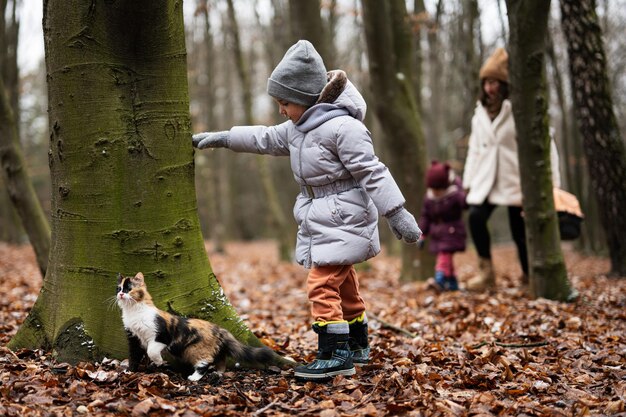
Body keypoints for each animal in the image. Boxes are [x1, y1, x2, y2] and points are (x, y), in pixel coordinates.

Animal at [117, 272, 272, 378]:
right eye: (118, 289)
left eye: (129, 289)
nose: (120, 294)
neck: (133, 311)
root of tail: (219, 328)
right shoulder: (134, 339)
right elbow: (134, 357)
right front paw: (129, 371)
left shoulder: (161, 336)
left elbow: (151, 351)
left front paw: (159, 362)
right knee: (221, 361)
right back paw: (218, 373)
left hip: (194, 350)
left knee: (206, 361)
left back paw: (194, 377)